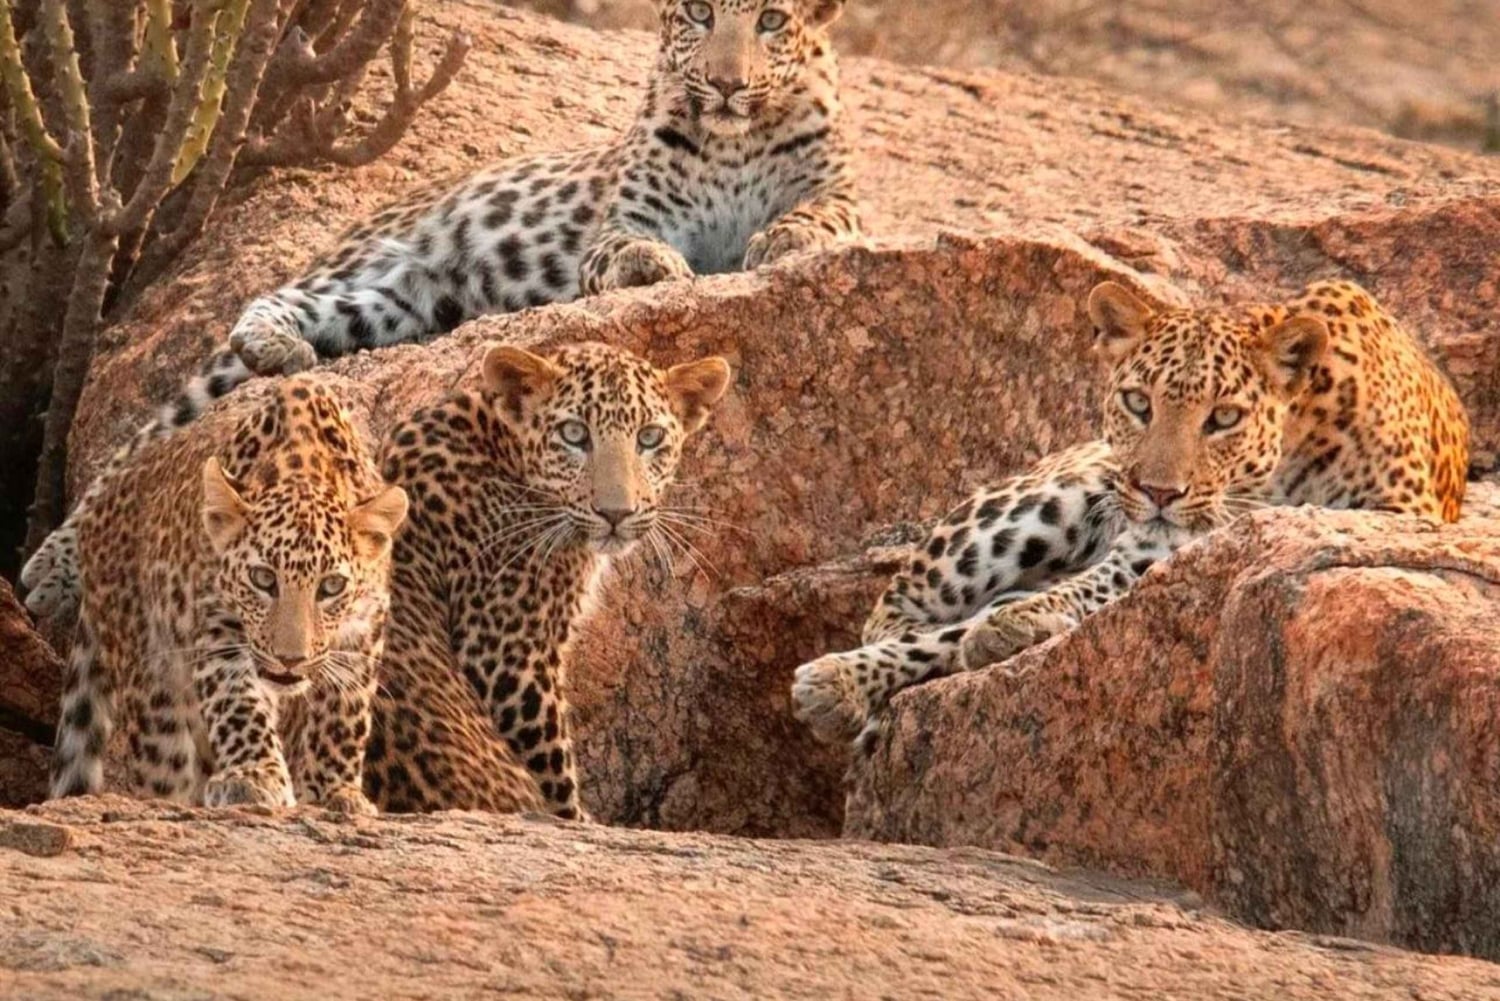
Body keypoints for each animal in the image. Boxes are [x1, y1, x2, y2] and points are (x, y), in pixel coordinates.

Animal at [22, 0, 857, 617]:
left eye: (771, 21)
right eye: (698, 12)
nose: (726, 84)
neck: (736, 140)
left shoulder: (840, 196)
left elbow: (820, 217)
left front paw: (781, 241)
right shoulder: (624, 216)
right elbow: (627, 244)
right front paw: (653, 264)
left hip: (393, 304)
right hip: (366, 267)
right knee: (238, 334)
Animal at [49, 375, 409, 814]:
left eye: (331, 586)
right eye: (263, 578)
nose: (290, 660)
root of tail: (95, 513)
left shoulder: (363, 632)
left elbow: (343, 715)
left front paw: (334, 790)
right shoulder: (220, 628)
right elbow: (238, 704)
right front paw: (254, 777)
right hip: (153, 687)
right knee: (164, 765)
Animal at [363, 340, 732, 819]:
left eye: (649, 438)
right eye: (574, 434)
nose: (616, 513)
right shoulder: (509, 655)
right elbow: (557, 774)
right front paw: (584, 821)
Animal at [792, 279, 1471, 749]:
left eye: (1224, 417)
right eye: (1139, 403)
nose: (1158, 491)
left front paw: (1015, 623)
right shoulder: (1159, 540)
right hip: (1054, 497)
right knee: (900, 606)